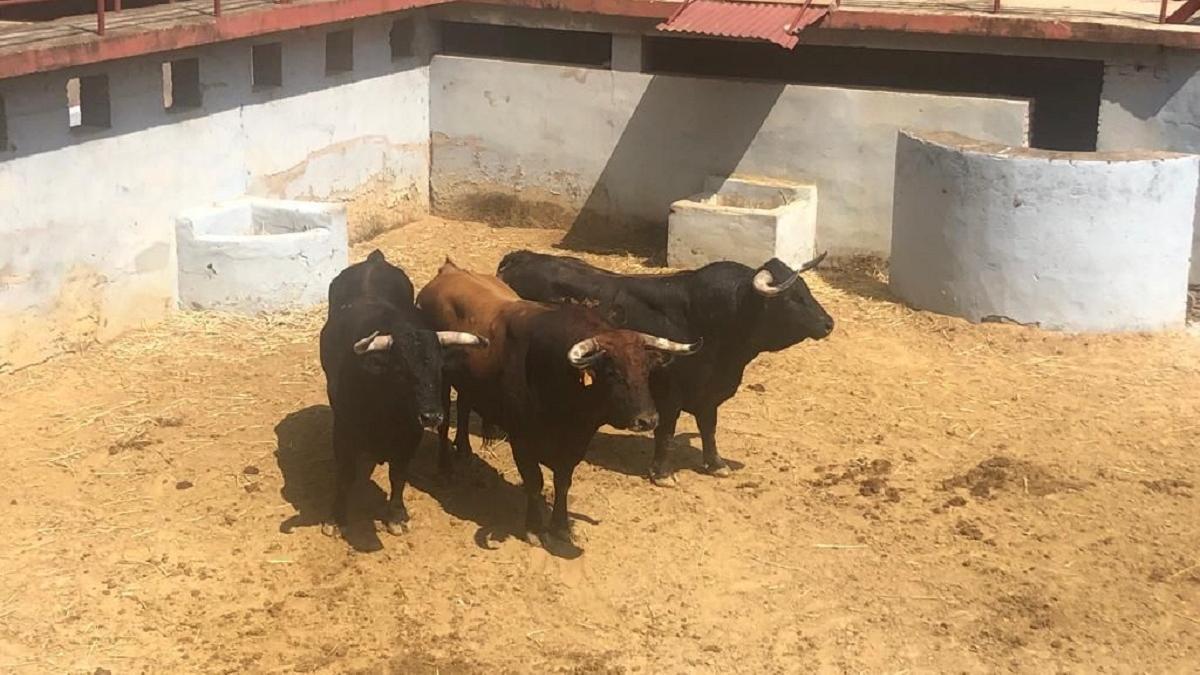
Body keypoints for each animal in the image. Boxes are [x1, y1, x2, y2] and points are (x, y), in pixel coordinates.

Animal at [415, 257, 700, 552]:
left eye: (646, 371)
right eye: (612, 372)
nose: (648, 419)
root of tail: (449, 271)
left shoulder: (575, 443)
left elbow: (562, 482)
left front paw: (560, 527)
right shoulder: (523, 441)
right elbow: (534, 482)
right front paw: (534, 528)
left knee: (464, 404)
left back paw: (464, 450)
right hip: (440, 382)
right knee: (443, 422)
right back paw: (446, 468)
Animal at [496, 249, 835, 480]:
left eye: (807, 290)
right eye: (791, 298)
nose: (828, 323)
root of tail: (518, 259)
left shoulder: (708, 396)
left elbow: (709, 428)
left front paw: (717, 464)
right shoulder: (669, 395)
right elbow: (666, 432)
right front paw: (661, 472)